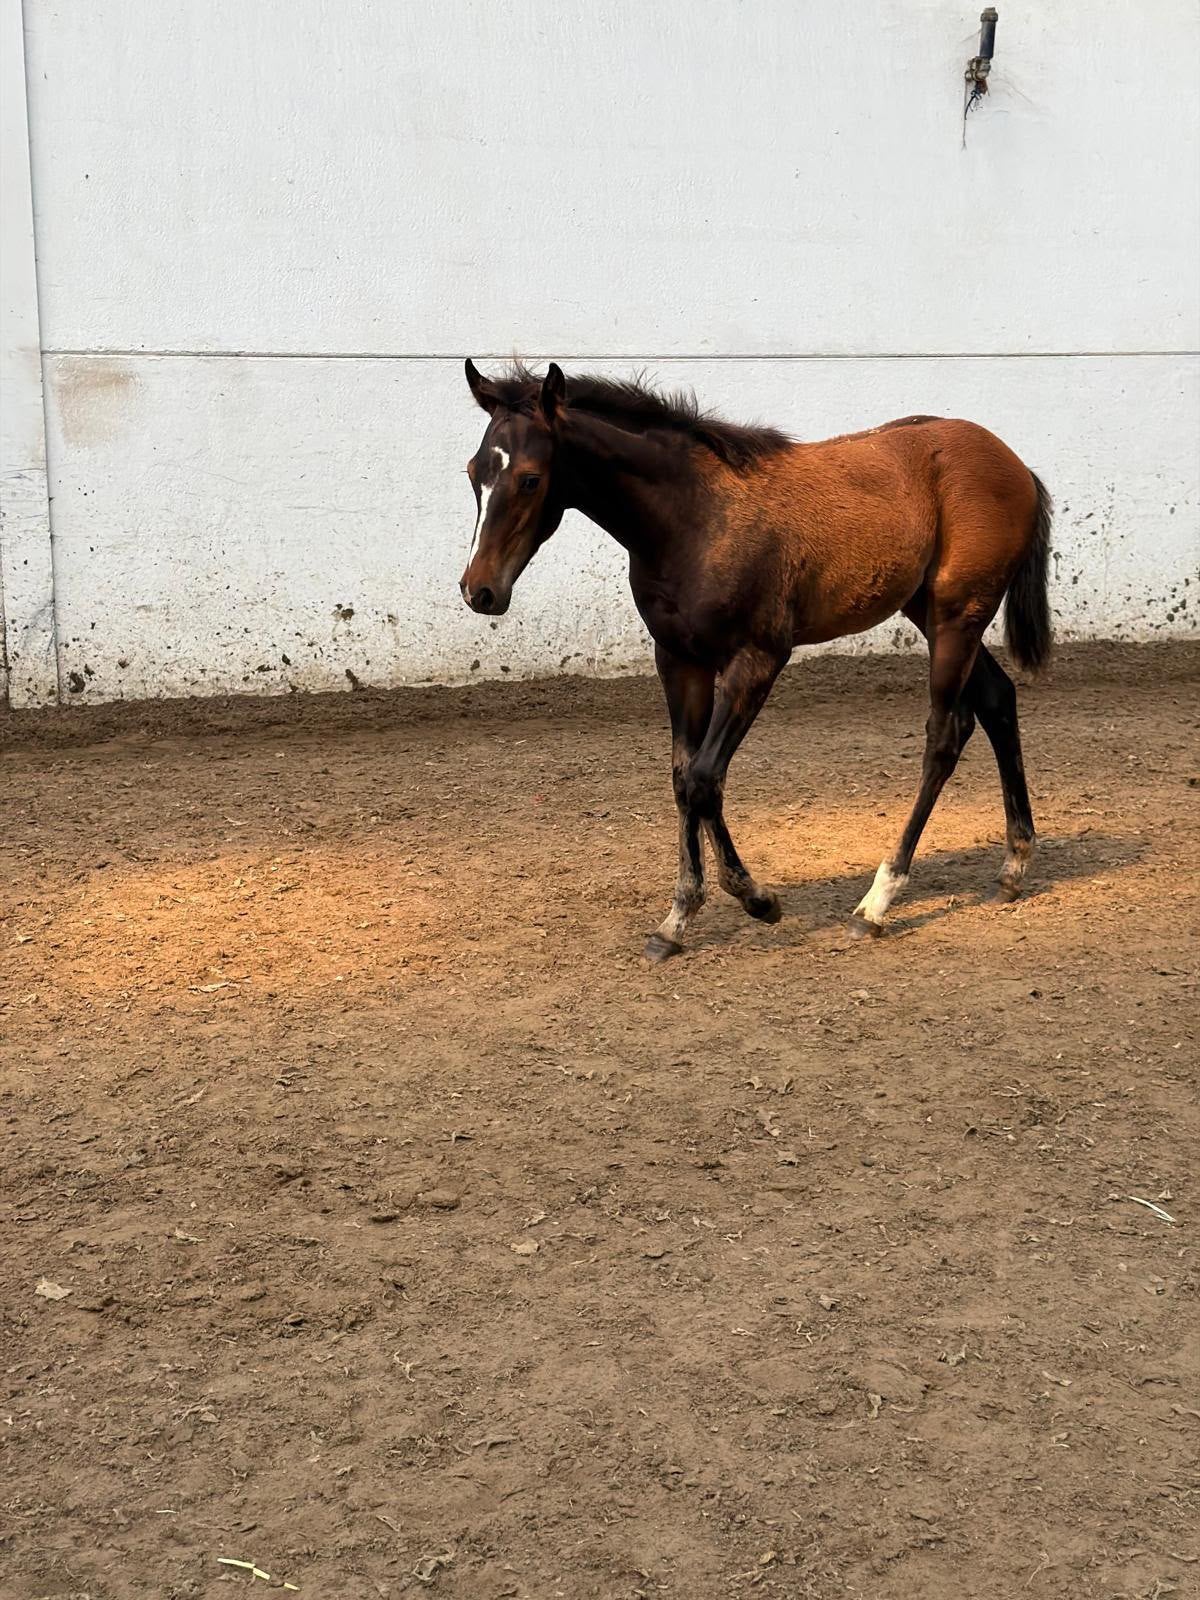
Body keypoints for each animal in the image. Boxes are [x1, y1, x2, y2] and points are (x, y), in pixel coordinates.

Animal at [459, 359, 1052, 962]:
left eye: (530, 478)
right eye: (472, 472)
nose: (479, 591)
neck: (696, 519)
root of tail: (1015, 462)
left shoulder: (758, 659)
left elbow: (704, 777)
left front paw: (756, 899)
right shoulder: (679, 660)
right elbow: (683, 776)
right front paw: (676, 919)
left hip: (957, 617)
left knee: (946, 734)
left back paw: (877, 903)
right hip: (929, 613)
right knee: (998, 699)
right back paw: (1012, 867)